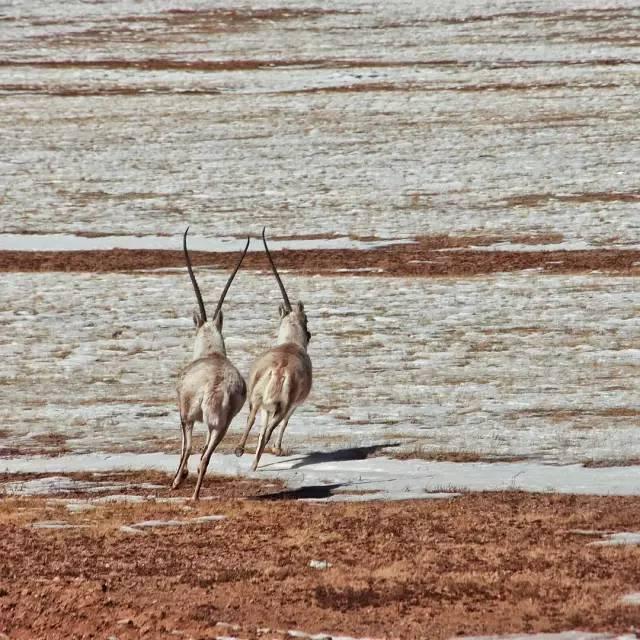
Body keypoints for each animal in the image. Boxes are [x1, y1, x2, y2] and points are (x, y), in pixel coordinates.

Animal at [172, 228, 250, 502]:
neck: (212, 353)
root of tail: (217, 385)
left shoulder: (184, 414)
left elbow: (185, 447)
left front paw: (178, 479)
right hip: (222, 425)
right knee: (206, 457)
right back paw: (195, 495)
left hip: (192, 417)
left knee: (192, 450)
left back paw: (183, 487)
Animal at [236, 228, 314, 468]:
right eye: (306, 319)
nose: (309, 334)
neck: (290, 342)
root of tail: (280, 370)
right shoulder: (294, 406)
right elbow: (285, 423)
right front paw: (278, 449)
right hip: (283, 405)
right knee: (270, 428)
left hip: (257, 398)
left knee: (254, 420)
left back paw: (242, 451)